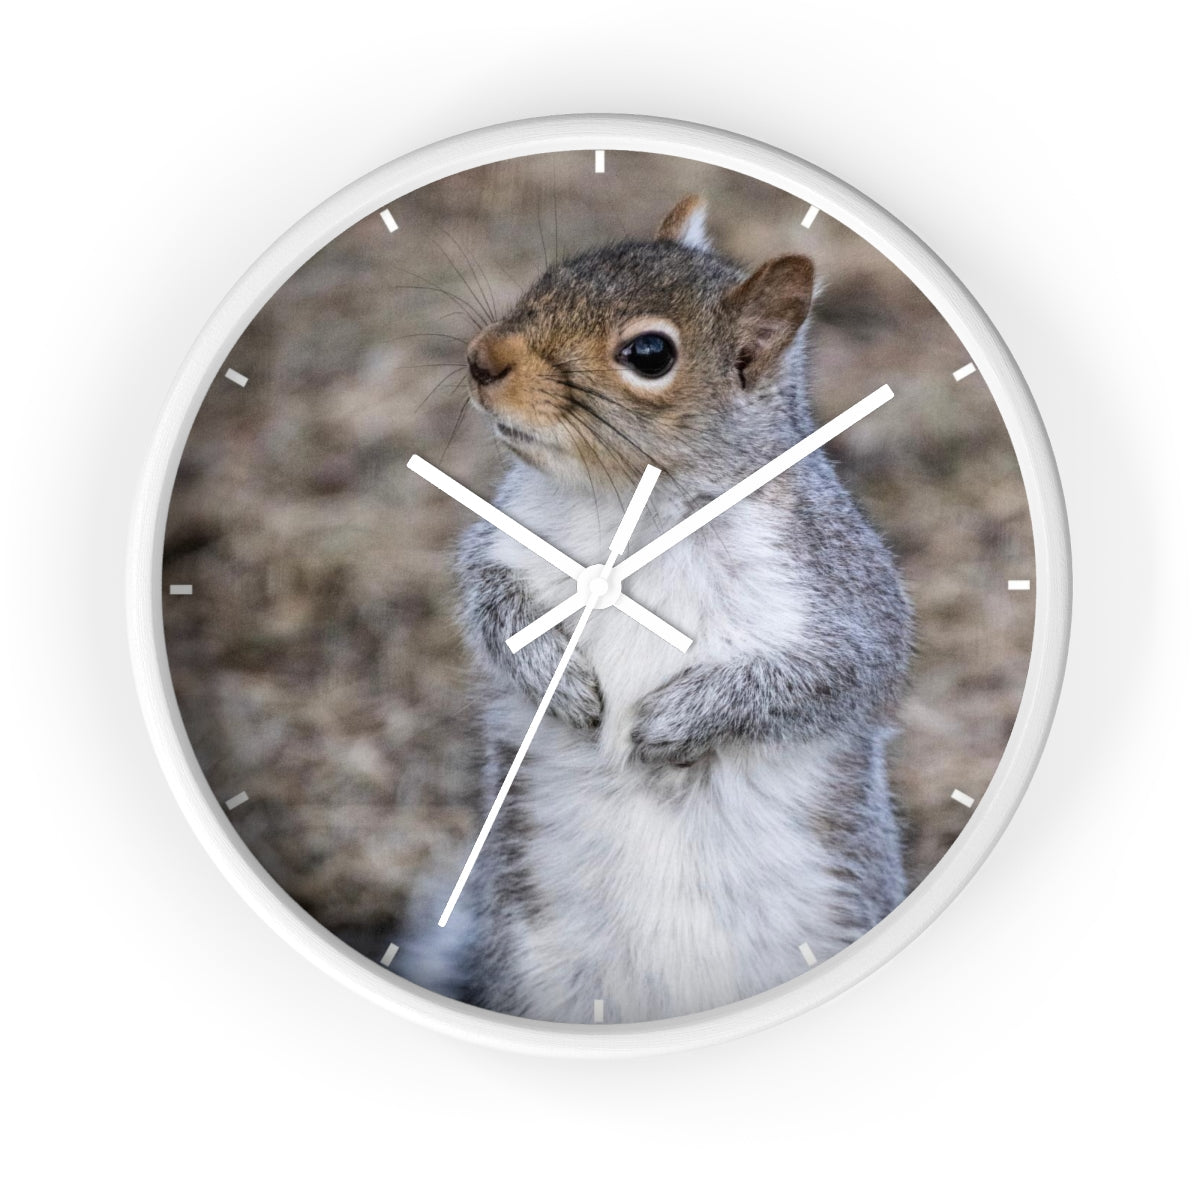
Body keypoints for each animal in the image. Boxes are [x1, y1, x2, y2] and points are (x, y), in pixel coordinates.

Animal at [443, 196, 912, 1023]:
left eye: (650, 354)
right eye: (551, 277)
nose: (482, 358)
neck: (633, 504)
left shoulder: (841, 589)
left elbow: (836, 676)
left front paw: (676, 722)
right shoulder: (503, 541)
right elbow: (486, 602)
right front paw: (557, 679)